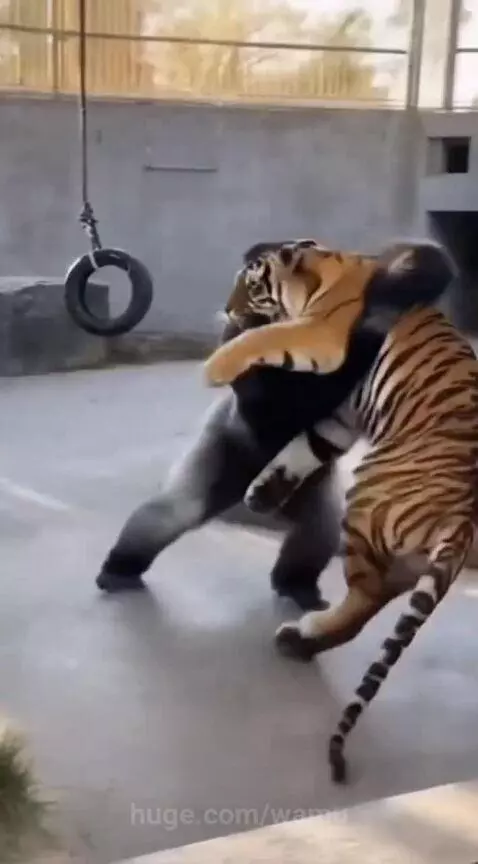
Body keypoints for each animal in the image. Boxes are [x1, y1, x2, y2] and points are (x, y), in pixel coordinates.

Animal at [203, 238, 478, 784]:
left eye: (250, 286)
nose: (226, 309)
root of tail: (464, 519)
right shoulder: (339, 418)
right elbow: (303, 448)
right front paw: (262, 493)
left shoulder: (320, 340)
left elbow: (265, 337)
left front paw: (219, 363)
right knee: (379, 595)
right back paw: (304, 638)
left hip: (366, 495)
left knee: (365, 598)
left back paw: (298, 638)